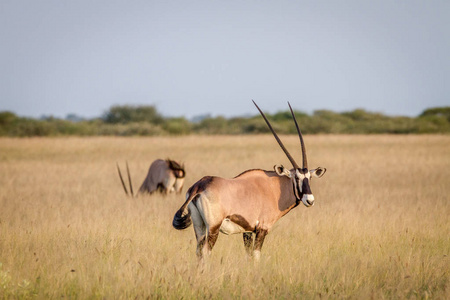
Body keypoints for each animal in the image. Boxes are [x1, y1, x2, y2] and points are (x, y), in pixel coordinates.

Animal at [173, 101, 326, 262]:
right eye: (296, 178)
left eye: (309, 178)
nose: (310, 200)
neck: (275, 188)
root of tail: (199, 186)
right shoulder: (262, 229)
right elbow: (256, 256)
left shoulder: (247, 231)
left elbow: (248, 256)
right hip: (213, 227)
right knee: (205, 252)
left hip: (199, 226)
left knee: (198, 251)